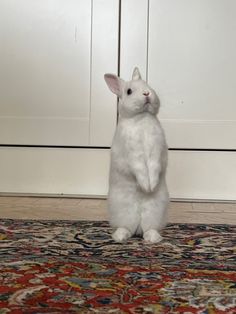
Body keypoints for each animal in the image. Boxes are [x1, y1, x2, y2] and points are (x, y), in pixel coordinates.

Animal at [104, 67, 169, 243]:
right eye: (129, 91)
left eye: (147, 84)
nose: (147, 93)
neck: (142, 117)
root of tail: (138, 225)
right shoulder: (133, 154)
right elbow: (139, 167)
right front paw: (146, 186)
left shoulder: (156, 149)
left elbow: (154, 165)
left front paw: (151, 186)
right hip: (122, 211)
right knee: (127, 227)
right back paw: (120, 237)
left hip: (155, 212)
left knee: (148, 228)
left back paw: (152, 238)